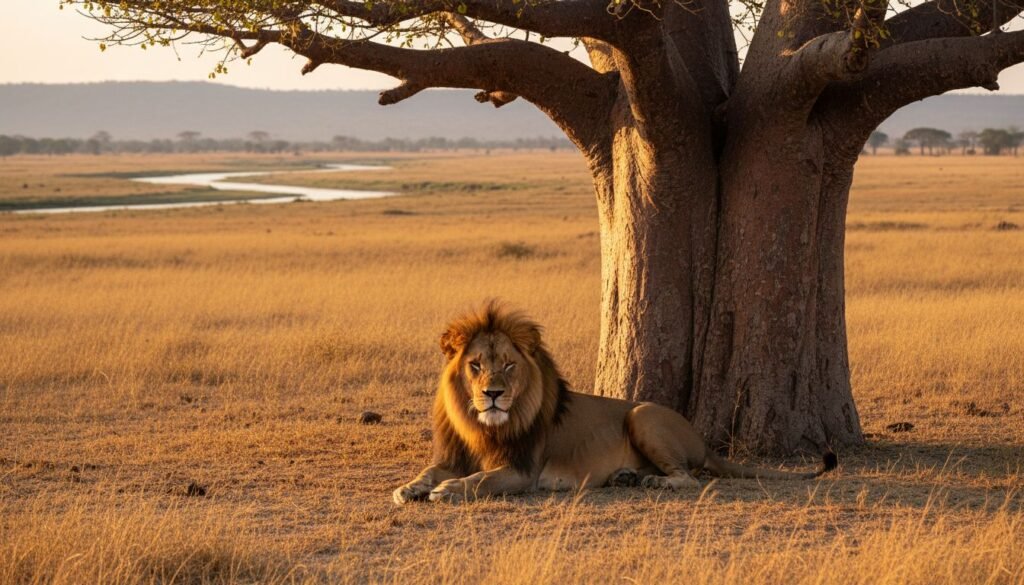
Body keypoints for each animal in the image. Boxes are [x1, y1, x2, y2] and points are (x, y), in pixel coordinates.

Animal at [393, 302, 837, 504]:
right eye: (475, 366)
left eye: (508, 365)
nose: (493, 393)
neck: (481, 425)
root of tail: (702, 440)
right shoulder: (457, 454)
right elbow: (430, 470)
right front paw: (409, 487)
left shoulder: (522, 470)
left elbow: (481, 480)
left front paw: (448, 490)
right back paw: (626, 477)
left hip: (643, 415)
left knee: (689, 476)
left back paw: (653, 481)